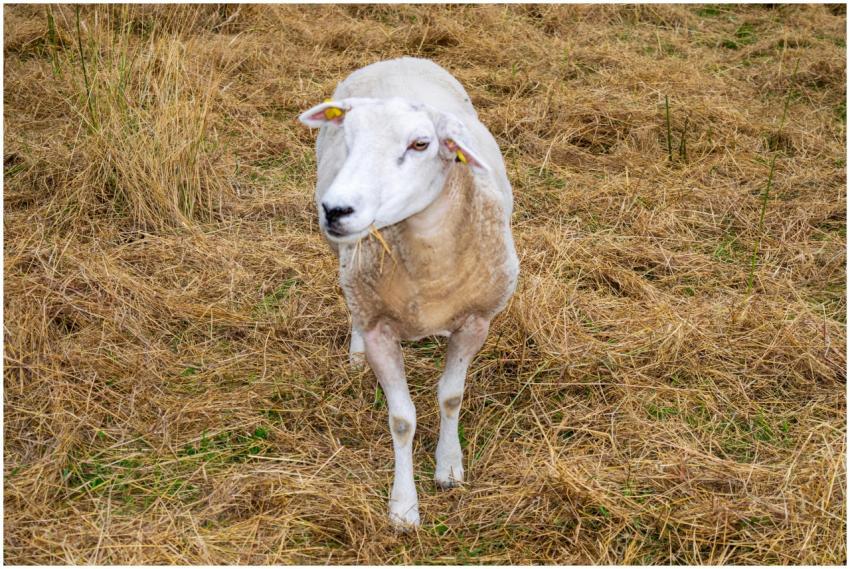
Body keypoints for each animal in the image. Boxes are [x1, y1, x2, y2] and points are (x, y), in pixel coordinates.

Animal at [298, 57, 518, 529]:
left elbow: (451, 396)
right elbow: (401, 420)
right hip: (350, 269)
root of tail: (396, 59)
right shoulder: (380, 327)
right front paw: (403, 506)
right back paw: (355, 353)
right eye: (349, 137)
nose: (335, 210)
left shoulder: (476, 322)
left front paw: (449, 466)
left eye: (421, 144)